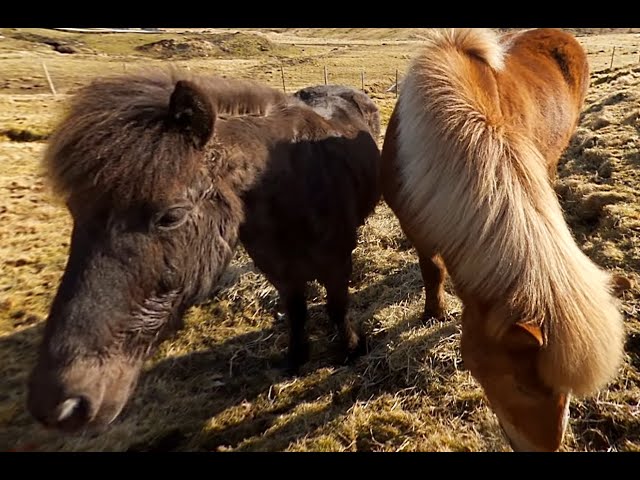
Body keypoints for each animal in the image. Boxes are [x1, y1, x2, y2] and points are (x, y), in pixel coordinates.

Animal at [27, 71, 380, 436]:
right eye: (74, 211)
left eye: (172, 215)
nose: (60, 406)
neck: (292, 188)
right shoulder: (279, 270)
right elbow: (296, 313)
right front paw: (296, 358)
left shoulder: (336, 263)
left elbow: (336, 307)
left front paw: (351, 350)